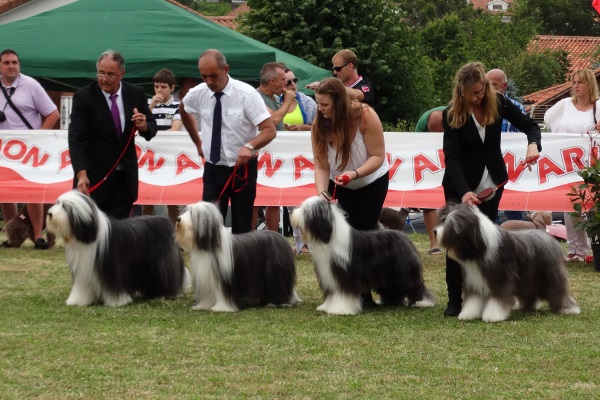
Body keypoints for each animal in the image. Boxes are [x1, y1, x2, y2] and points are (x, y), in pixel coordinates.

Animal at [47, 191, 191, 306]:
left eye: (65, 206)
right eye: (58, 202)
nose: (49, 213)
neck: (89, 233)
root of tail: (166, 220)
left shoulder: (112, 267)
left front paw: (116, 302)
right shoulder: (84, 270)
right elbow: (82, 287)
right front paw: (78, 301)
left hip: (163, 263)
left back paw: (171, 293)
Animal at [290, 197, 434, 316]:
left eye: (306, 211)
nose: (292, 214)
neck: (329, 236)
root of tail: (404, 236)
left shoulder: (345, 275)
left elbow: (345, 293)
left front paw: (341, 309)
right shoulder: (329, 275)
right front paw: (326, 307)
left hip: (404, 270)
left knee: (414, 284)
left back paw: (423, 302)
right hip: (389, 273)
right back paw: (390, 301)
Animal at [434, 203, 580, 322]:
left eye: (450, 224)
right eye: (443, 220)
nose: (435, 231)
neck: (480, 246)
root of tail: (549, 238)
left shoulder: (500, 279)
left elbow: (497, 299)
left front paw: (493, 316)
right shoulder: (475, 279)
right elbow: (473, 300)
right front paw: (468, 314)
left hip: (549, 275)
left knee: (558, 291)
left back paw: (568, 308)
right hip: (528, 277)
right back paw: (526, 306)